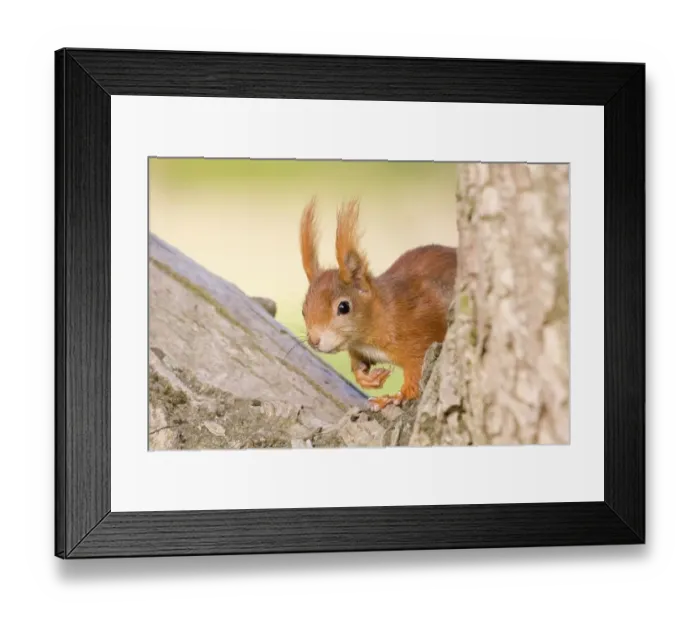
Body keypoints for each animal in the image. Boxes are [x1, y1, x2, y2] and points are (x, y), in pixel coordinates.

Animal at [299, 197, 457, 412]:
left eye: (343, 307)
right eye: (303, 311)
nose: (314, 340)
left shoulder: (421, 334)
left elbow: (415, 375)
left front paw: (396, 397)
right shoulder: (359, 349)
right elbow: (358, 365)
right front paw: (368, 378)